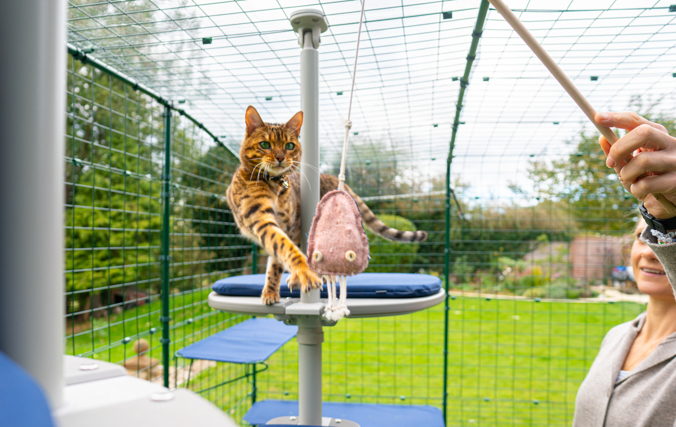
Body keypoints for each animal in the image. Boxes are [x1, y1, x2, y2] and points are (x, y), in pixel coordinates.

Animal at [227, 105, 428, 306]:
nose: (280, 157)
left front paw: (299, 275)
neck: (275, 185)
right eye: (265, 144)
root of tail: (331, 178)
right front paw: (272, 290)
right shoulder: (259, 217)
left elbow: (279, 258)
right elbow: (280, 245)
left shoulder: (288, 225)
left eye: (289, 146)